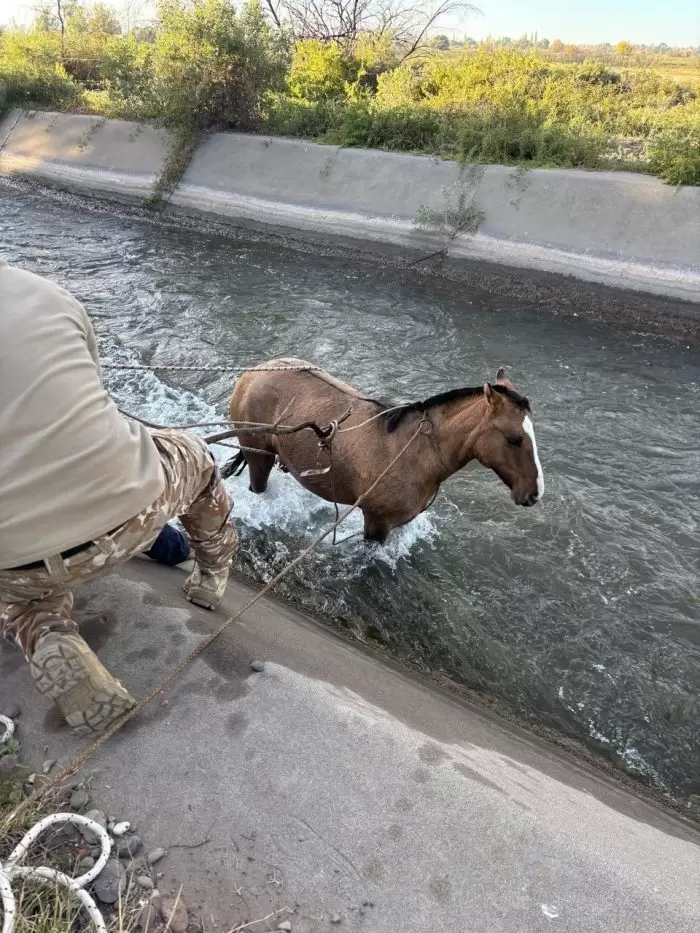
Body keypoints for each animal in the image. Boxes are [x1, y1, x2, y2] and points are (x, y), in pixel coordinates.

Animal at [221, 358, 544, 543]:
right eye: (514, 439)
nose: (534, 493)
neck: (415, 454)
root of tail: (254, 373)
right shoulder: (378, 522)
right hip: (258, 455)